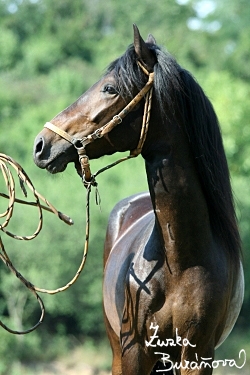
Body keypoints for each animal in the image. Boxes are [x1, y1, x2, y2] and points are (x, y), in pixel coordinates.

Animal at [33, 25, 244, 374]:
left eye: (109, 88)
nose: (41, 144)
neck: (180, 259)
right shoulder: (134, 353)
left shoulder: (197, 355)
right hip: (119, 351)